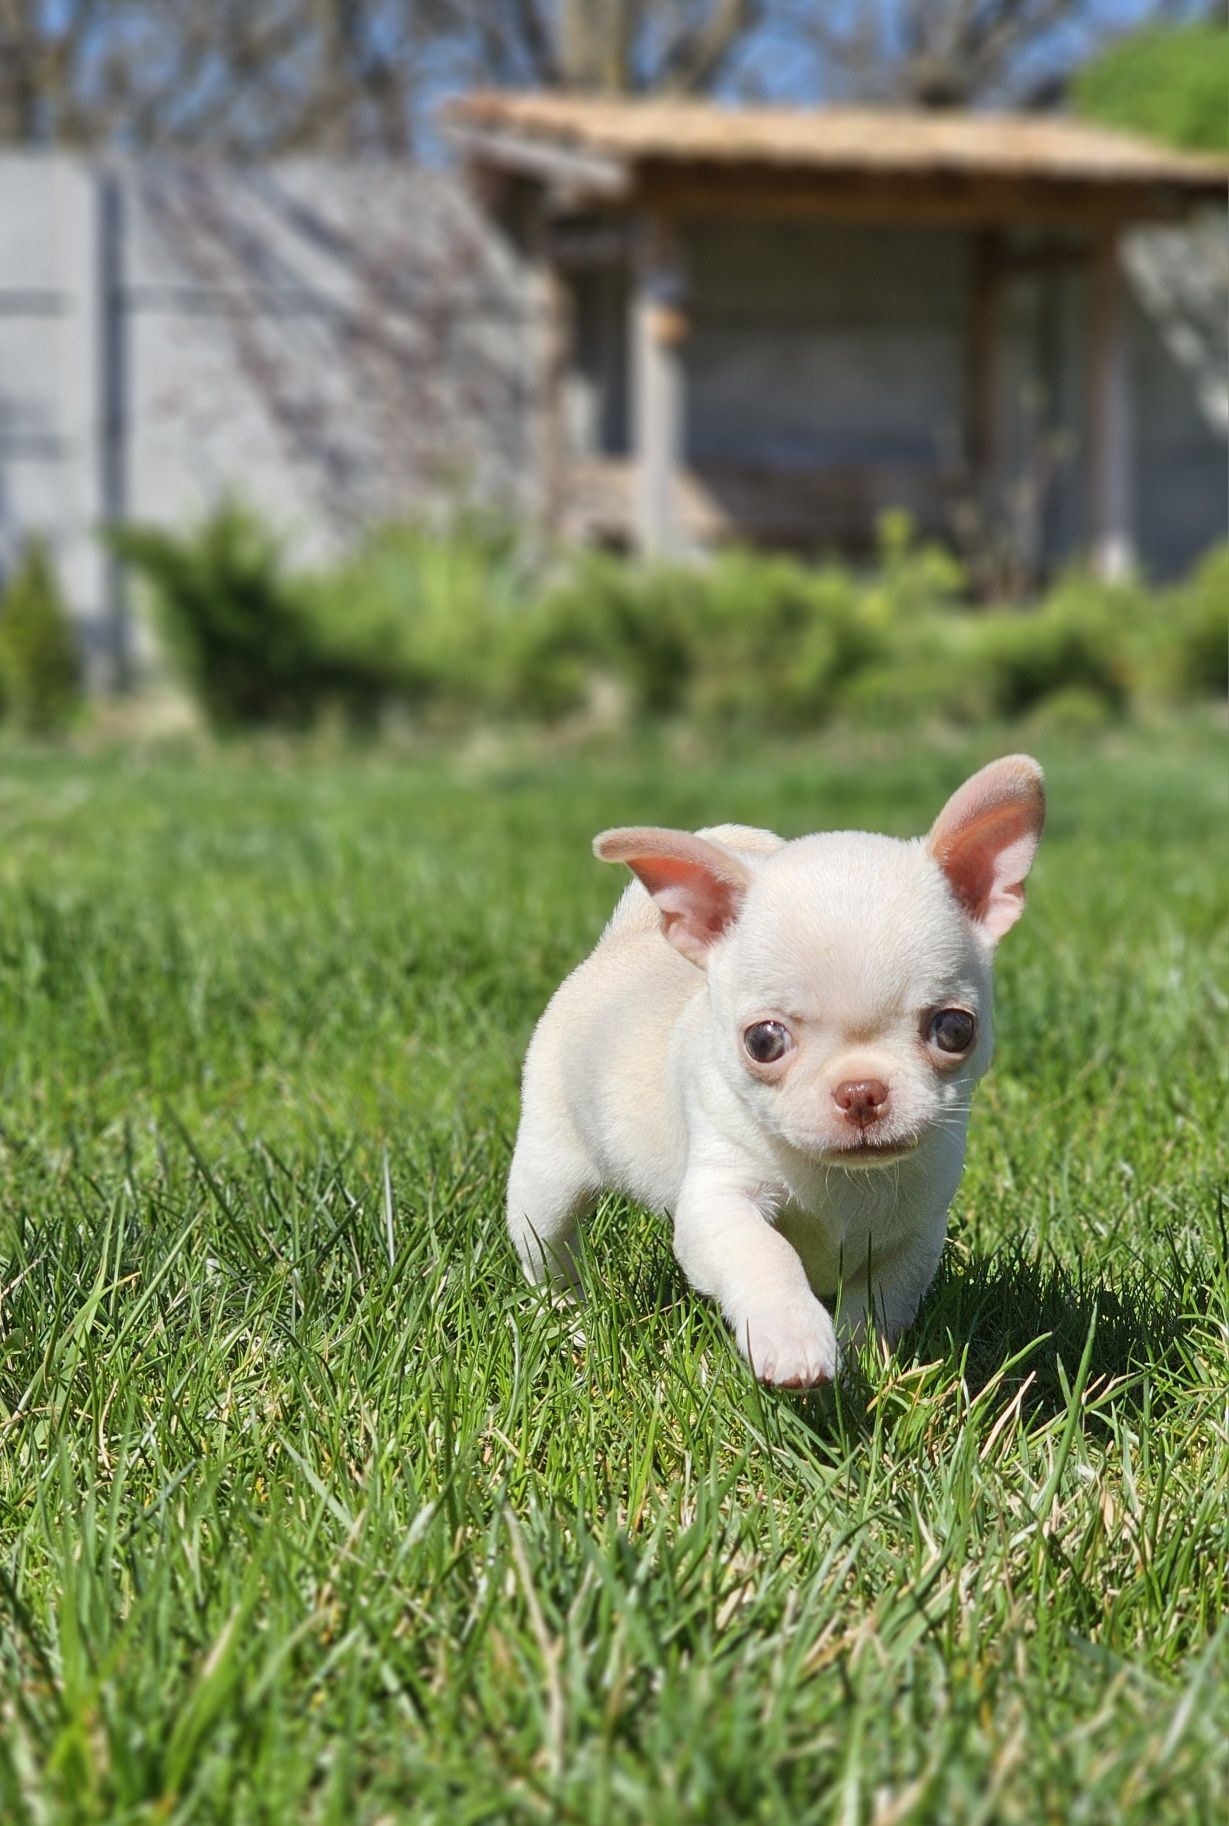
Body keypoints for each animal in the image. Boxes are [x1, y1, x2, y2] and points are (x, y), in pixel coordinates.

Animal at [507, 755, 1044, 1380]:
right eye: (763, 1042)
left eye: (954, 1030)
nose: (862, 1091)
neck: (841, 1180)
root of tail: (625, 940)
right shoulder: (719, 1203)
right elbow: (765, 1255)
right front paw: (793, 1338)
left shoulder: (914, 1235)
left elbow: (879, 1303)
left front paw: (864, 1364)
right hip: (547, 1182)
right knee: (550, 1255)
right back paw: (569, 1323)